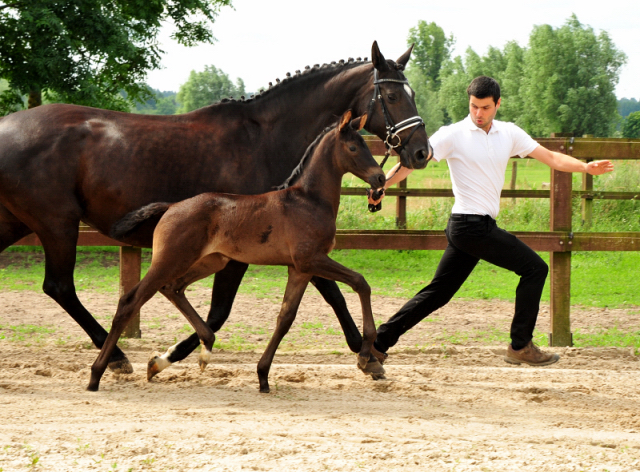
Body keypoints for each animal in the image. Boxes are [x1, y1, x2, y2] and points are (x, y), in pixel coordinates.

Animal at [87, 111, 388, 394]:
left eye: (366, 144)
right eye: (353, 147)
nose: (380, 177)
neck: (308, 201)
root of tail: (171, 207)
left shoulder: (299, 269)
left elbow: (285, 318)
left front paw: (263, 375)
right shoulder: (312, 259)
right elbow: (361, 282)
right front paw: (365, 355)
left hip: (211, 262)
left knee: (172, 288)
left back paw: (194, 352)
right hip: (172, 259)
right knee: (130, 301)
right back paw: (97, 374)